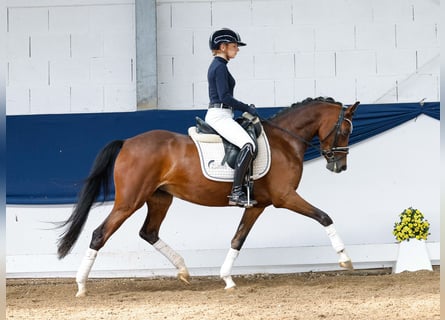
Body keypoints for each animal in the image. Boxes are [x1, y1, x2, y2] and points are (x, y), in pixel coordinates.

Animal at [57, 97, 360, 298]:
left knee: (148, 232)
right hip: (128, 201)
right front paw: (345, 259)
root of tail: (128, 142)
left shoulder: (257, 205)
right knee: (99, 234)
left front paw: (227, 279)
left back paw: (183, 270)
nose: (340, 166)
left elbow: (238, 238)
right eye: (345, 130)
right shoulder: (285, 197)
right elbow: (324, 217)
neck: (284, 141)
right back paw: (81, 286)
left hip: (160, 199)